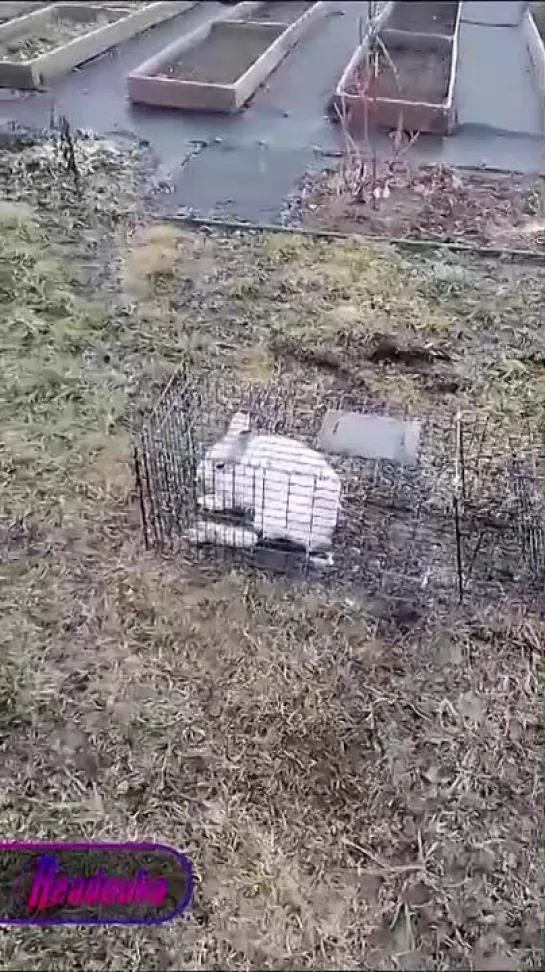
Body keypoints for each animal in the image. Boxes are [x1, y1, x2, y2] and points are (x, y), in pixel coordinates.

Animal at [192, 410, 340, 556]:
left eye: (219, 466)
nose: (198, 477)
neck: (238, 465)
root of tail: (322, 537)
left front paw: (206, 501)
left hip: (273, 515)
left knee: (256, 537)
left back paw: (202, 532)